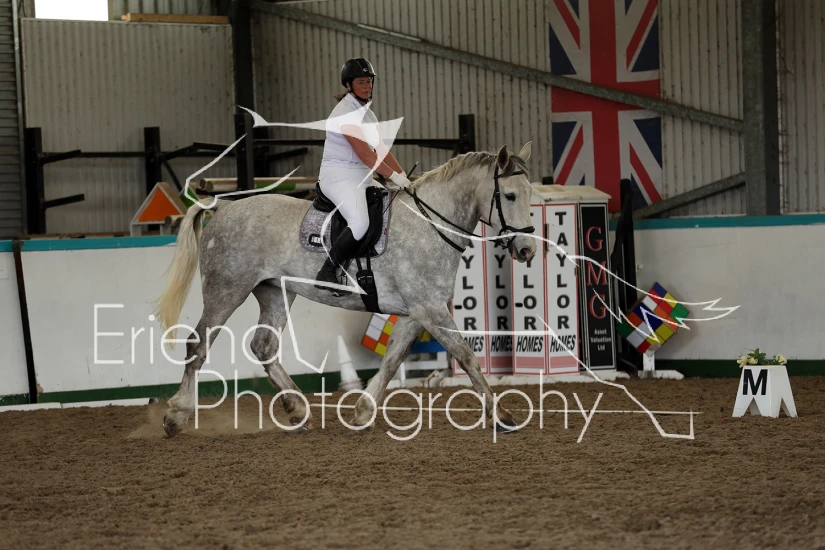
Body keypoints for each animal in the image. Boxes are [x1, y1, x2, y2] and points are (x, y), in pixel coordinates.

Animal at [155, 142, 537, 437]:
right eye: (509, 195)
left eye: (531, 195)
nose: (527, 250)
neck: (430, 224)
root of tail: (223, 206)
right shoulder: (430, 309)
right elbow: (466, 356)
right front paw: (502, 417)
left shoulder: (418, 311)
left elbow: (392, 359)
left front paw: (363, 412)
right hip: (226, 290)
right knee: (198, 344)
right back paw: (177, 415)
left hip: (275, 292)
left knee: (264, 347)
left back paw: (298, 410)